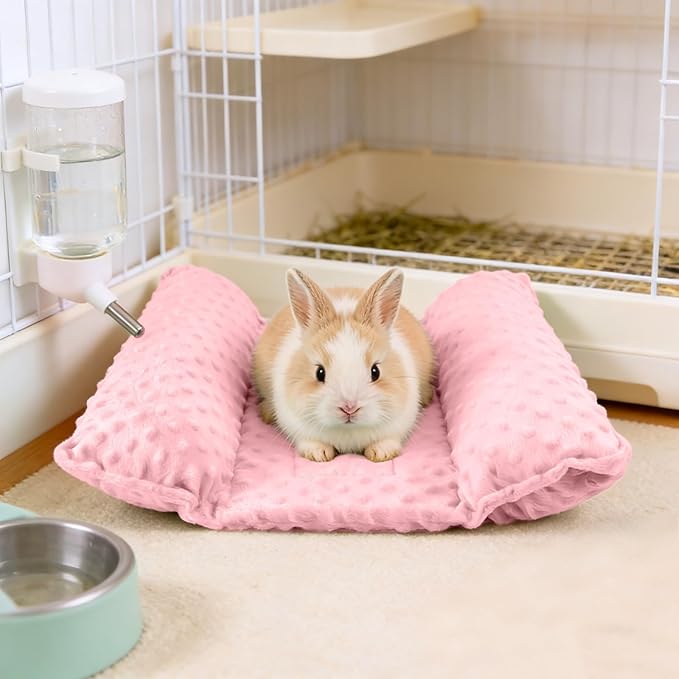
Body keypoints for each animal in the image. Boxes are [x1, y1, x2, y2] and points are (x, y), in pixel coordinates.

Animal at [252, 267, 435, 462]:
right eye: (320, 373)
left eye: (375, 371)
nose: (349, 408)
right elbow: (309, 442)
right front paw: (319, 454)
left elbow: (388, 440)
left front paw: (381, 453)